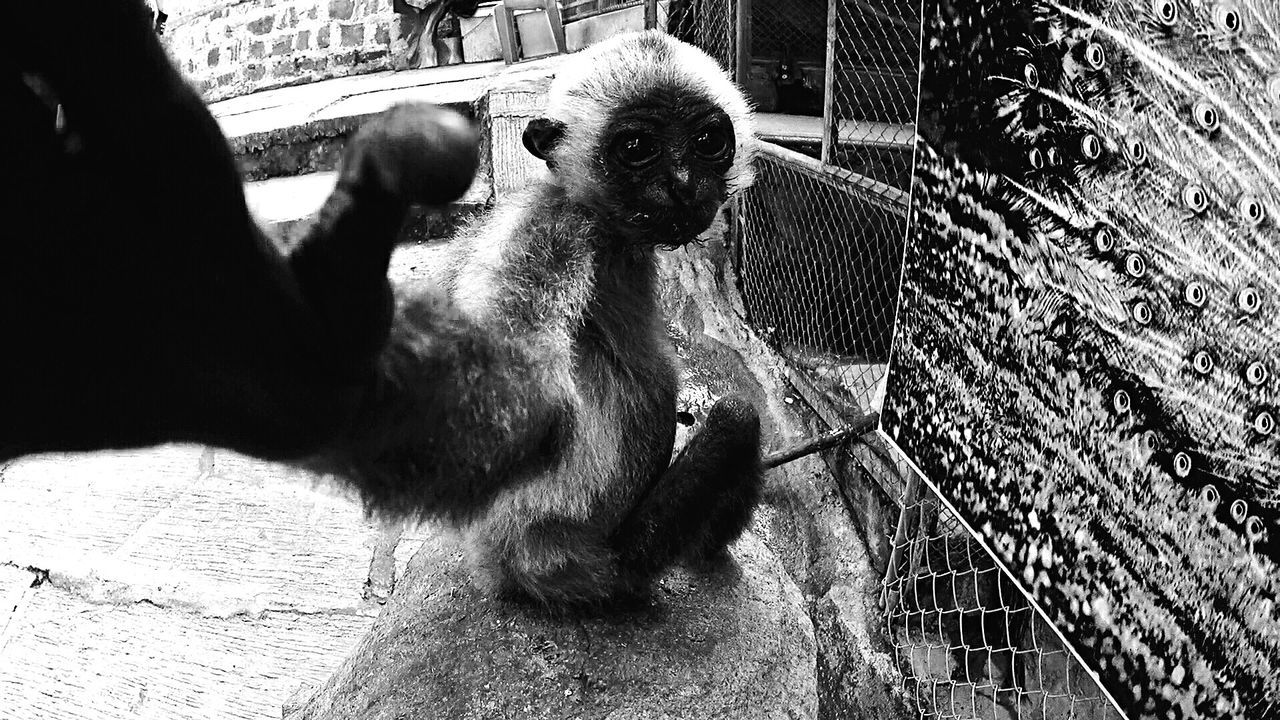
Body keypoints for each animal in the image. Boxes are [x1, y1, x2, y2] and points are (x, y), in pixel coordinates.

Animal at [330, 32, 762, 604]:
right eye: (636, 149)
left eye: (708, 140)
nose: (685, 183)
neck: (600, 229)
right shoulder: (551, 233)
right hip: (619, 557)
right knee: (736, 418)